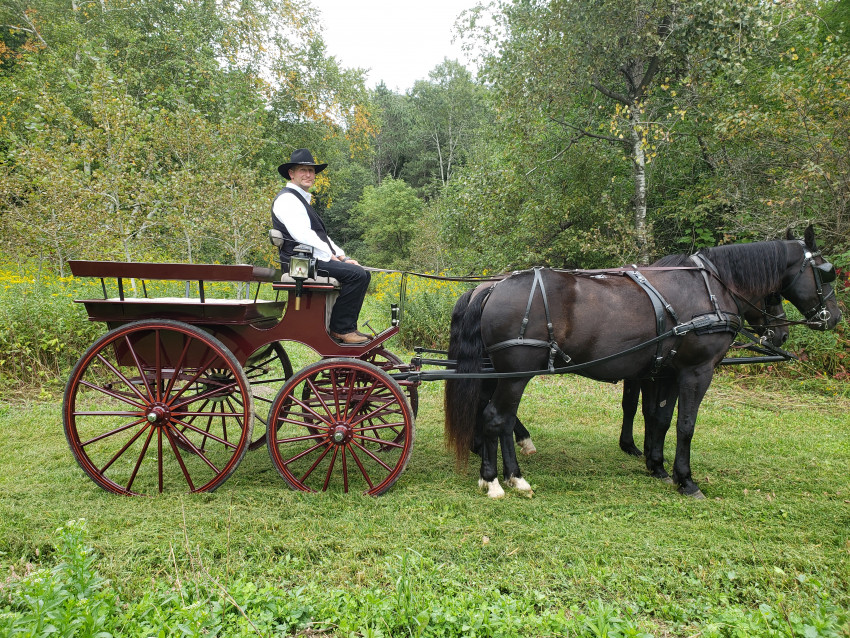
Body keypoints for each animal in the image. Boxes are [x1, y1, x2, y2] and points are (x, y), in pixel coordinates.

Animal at [445, 226, 840, 498]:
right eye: (827, 272)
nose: (833, 317)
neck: (710, 288)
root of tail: (493, 287)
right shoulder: (696, 371)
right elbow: (685, 425)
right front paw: (685, 479)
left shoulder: (663, 370)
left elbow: (659, 418)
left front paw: (656, 465)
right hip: (515, 372)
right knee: (496, 418)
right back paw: (495, 481)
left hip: (508, 372)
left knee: (502, 419)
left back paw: (513, 475)